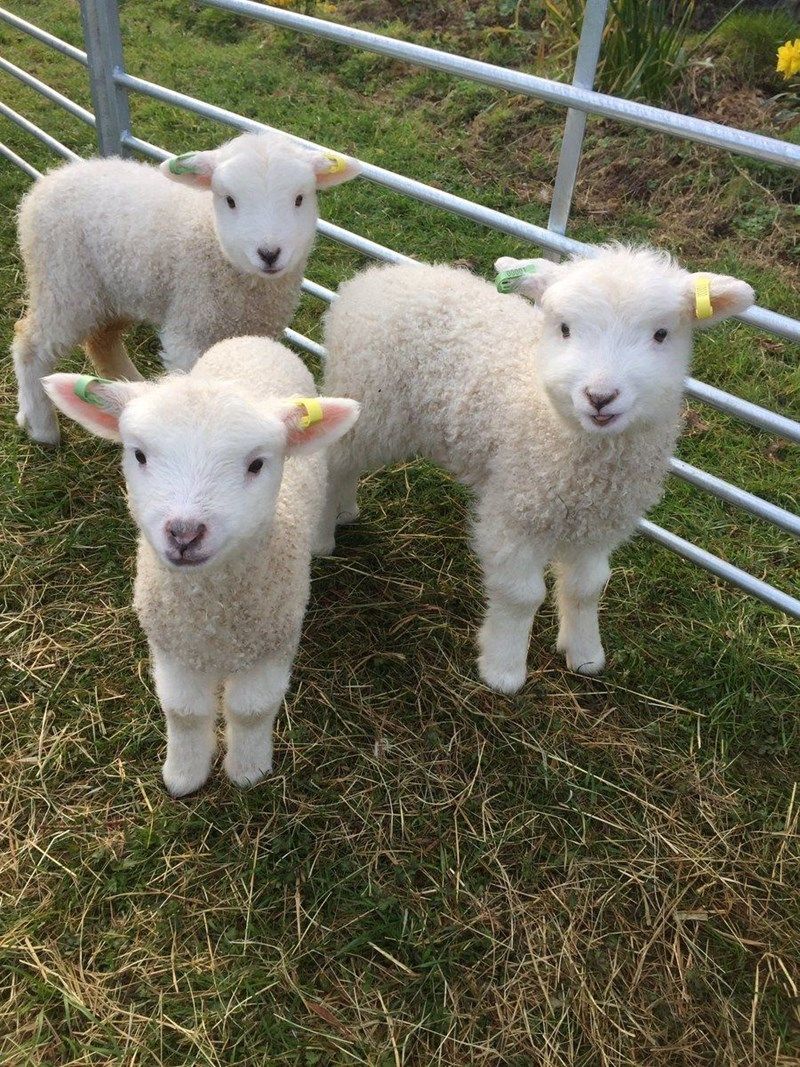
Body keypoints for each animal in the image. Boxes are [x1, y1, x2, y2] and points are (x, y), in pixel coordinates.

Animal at [13, 130, 360, 446]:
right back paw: (40, 425)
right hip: (63, 282)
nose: (269, 253)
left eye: (300, 198)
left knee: (102, 339)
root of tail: (51, 179)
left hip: (114, 289)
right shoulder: (189, 328)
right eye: (230, 200)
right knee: (29, 343)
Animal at [43, 336, 360, 796]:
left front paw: (248, 771)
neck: (211, 613)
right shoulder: (173, 645)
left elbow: (252, 710)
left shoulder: (272, 641)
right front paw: (183, 776)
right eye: (138, 454)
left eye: (257, 464)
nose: (185, 533)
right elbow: (184, 712)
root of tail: (251, 340)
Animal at [318, 246, 755, 694]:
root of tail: (372, 278)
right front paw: (503, 670)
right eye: (564, 329)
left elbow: (587, 588)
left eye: (661, 334)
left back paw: (345, 511)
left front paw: (585, 654)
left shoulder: (599, 524)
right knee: (332, 462)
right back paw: (322, 536)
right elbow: (521, 595)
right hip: (368, 402)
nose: (600, 397)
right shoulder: (515, 509)